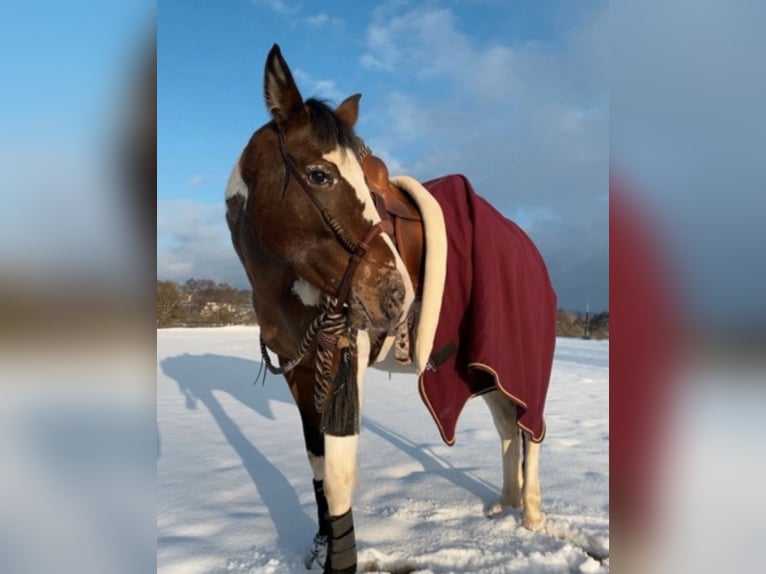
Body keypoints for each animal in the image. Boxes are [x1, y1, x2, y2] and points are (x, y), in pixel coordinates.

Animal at [225, 44, 557, 574]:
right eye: (319, 174)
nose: (396, 293)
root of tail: (532, 251)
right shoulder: (301, 371)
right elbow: (316, 463)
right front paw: (320, 546)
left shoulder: (343, 360)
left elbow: (338, 476)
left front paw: (340, 559)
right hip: (484, 368)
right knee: (508, 428)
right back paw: (504, 504)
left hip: (521, 362)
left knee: (533, 432)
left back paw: (531, 514)